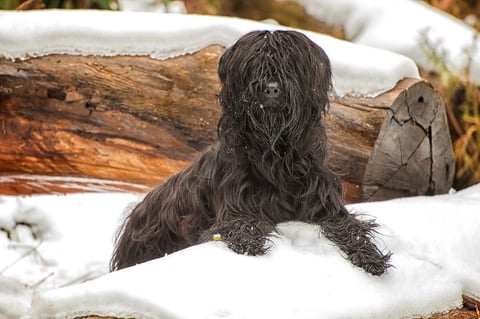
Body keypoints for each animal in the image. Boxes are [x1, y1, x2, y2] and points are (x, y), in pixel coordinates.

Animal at [110, 30, 392, 276]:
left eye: (289, 64)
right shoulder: (234, 206)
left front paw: (370, 258)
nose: (271, 88)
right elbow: (241, 224)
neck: (276, 152)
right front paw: (248, 244)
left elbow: (350, 226)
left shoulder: (326, 202)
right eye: (254, 64)